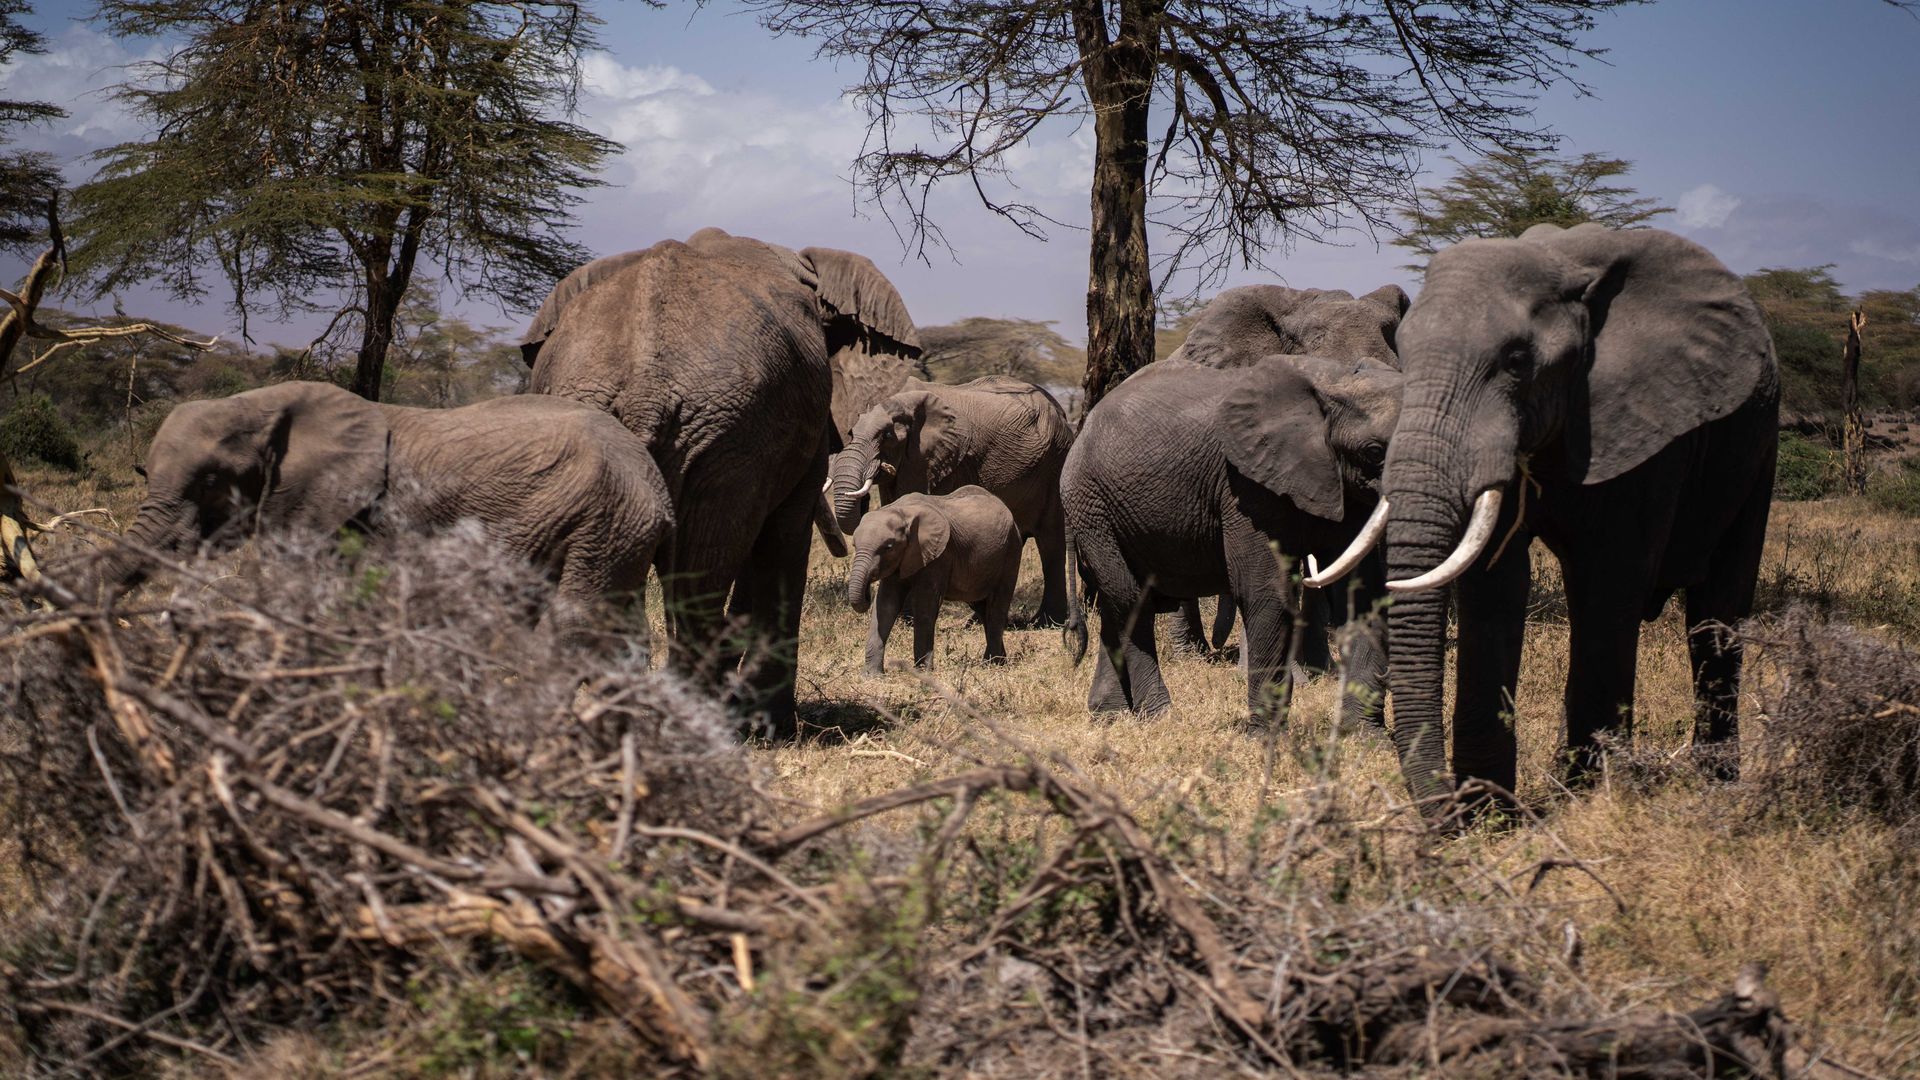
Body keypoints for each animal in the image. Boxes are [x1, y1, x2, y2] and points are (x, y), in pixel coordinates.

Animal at [108, 382, 671, 644]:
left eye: (209, 481)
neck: (264, 402)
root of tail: (654, 483)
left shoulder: (345, 512)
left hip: (605, 520)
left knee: (569, 625)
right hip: (618, 534)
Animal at [826, 375, 1074, 625]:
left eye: (886, 436)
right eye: (851, 433)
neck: (902, 402)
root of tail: (1061, 412)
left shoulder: (942, 462)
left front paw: (908, 620)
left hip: (1056, 462)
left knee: (1050, 541)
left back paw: (1047, 621)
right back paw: (978, 620)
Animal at [845, 486, 1024, 672]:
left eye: (888, 547)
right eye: (854, 545)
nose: (867, 591)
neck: (902, 512)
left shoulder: (940, 555)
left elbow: (925, 605)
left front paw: (923, 671)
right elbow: (885, 605)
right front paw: (872, 675)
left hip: (1012, 550)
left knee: (997, 606)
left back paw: (992, 665)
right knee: (983, 608)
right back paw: (998, 662)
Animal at [1061, 354, 1403, 724]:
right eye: (1374, 451)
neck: (1336, 381)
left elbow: (1360, 589)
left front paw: (1364, 733)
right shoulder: (1245, 487)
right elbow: (1266, 590)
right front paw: (1266, 733)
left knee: (1116, 604)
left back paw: (1109, 715)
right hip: (1092, 507)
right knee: (1131, 600)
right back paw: (1160, 715)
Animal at [1309, 223, 1779, 812]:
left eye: (1516, 361)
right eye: (1405, 355)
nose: (1444, 813)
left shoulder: (1645, 426)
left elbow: (1611, 581)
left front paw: (1583, 800)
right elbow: (1495, 584)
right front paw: (1490, 812)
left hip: (1759, 442)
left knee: (1717, 609)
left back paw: (1716, 784)